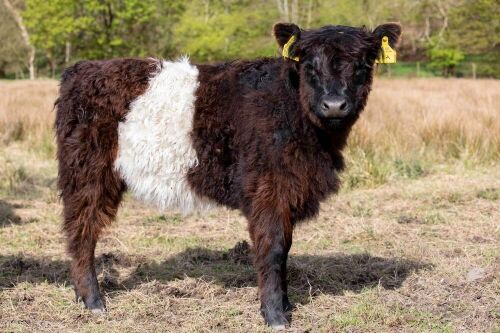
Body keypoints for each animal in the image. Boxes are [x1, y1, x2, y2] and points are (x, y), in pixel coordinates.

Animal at [54, 22, 400, 326]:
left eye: (363, 63)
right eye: (309, 64)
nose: (334, 104)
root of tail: (82, 69)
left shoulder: (288, 192)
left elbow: (286, 249)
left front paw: (286, 304)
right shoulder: (268, 190)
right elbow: (273, 248)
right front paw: (275, 315)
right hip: (88, 173)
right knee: (82, 232)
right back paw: (94, 302)